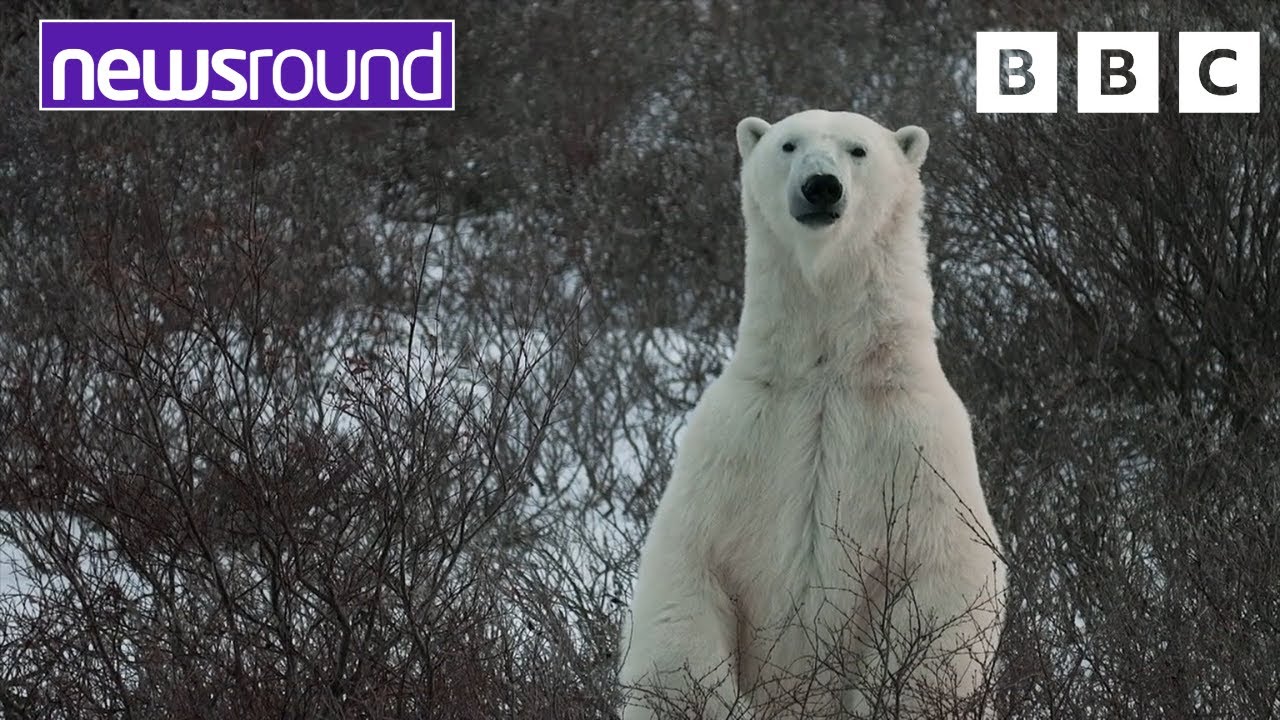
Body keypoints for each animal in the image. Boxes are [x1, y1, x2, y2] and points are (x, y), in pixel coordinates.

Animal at [618, 109, 1007, 720]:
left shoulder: (920, 450)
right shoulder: (732, 444)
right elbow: (682, 588)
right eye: (788, 144)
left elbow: (944, 587)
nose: (821, 186)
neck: (826, 376)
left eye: (858, 149)